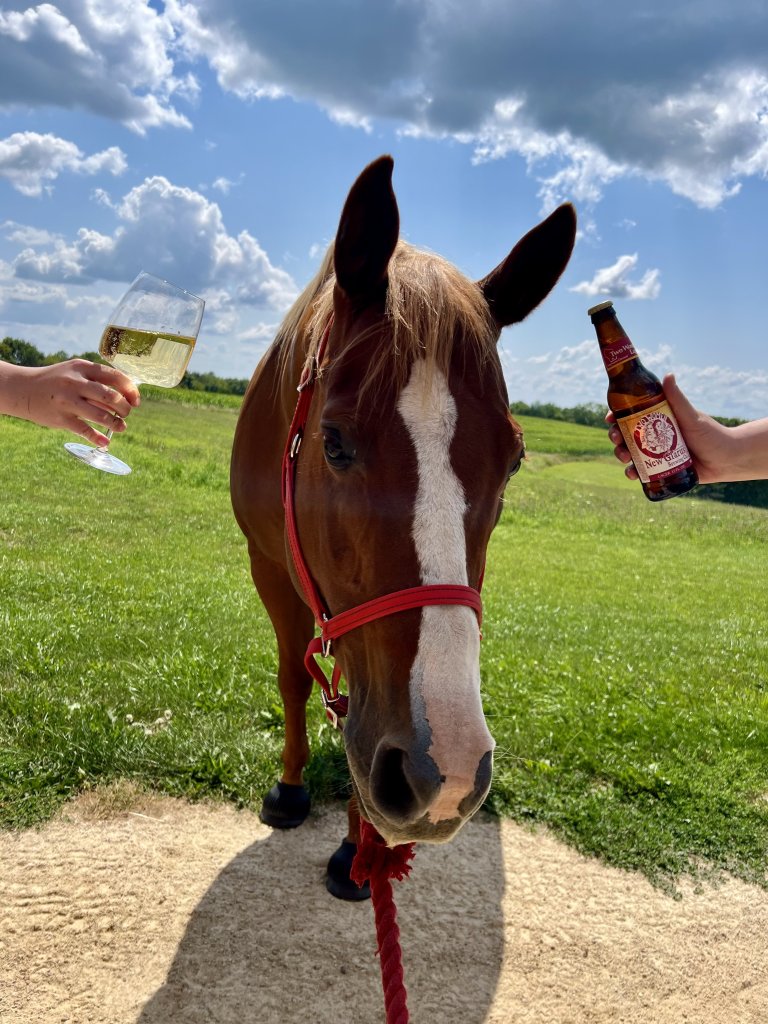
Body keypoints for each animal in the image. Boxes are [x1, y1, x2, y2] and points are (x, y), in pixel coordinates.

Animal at [231, 155, 576, 899]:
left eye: (514, 461)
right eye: (333, 442)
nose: (447, 771)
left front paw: (358, 847)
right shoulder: (267, 564)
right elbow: (295, 678)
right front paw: (290, 790)